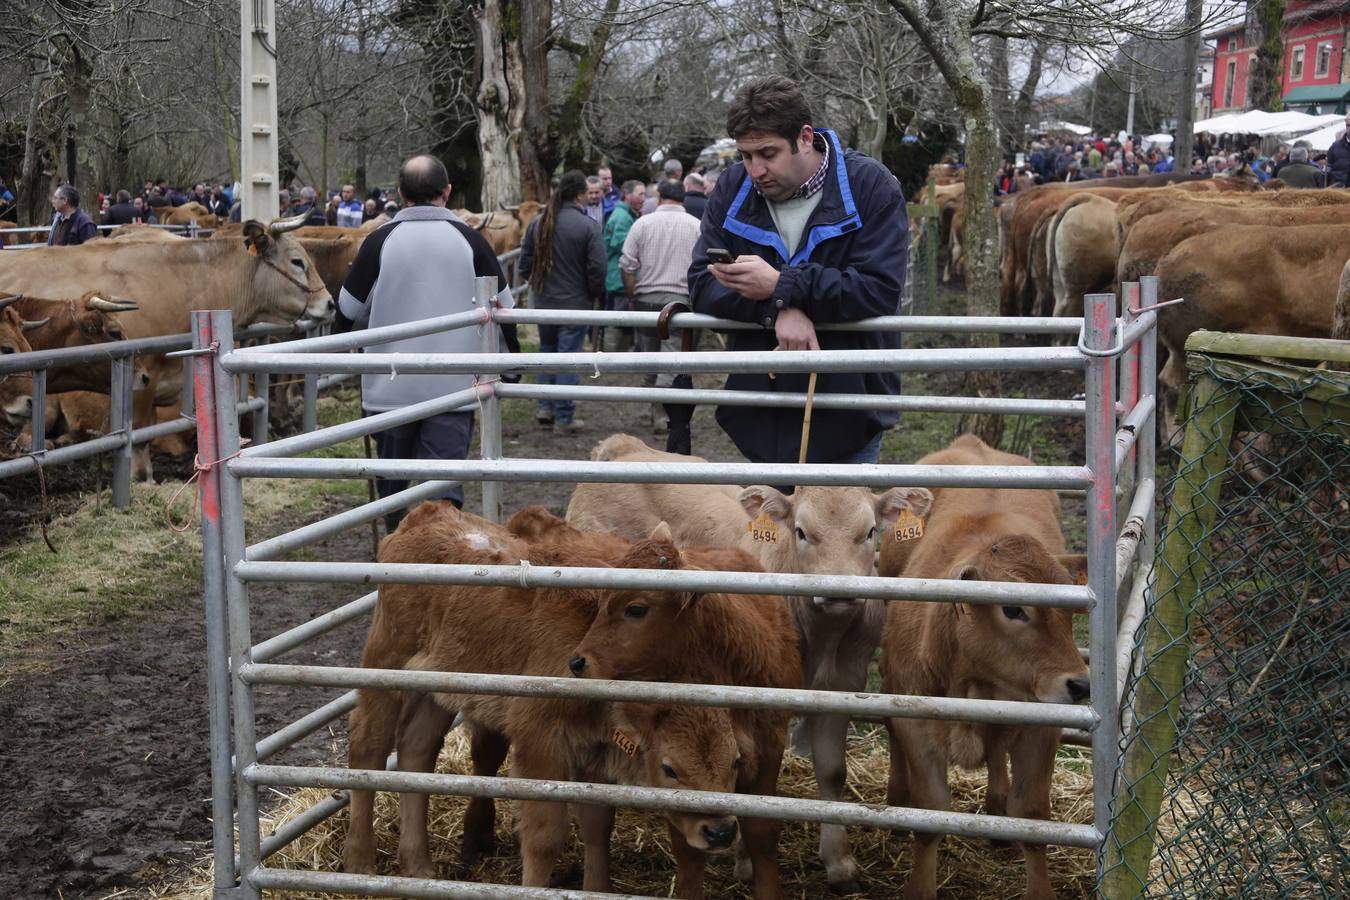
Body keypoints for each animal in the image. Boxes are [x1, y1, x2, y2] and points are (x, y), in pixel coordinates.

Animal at [880, 434, 1090, 900]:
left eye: (1070, 611)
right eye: (1013, 608)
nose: (1080, 685)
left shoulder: (1041, 725)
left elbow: (1032, 813)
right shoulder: (915, 719)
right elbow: (930, 813)